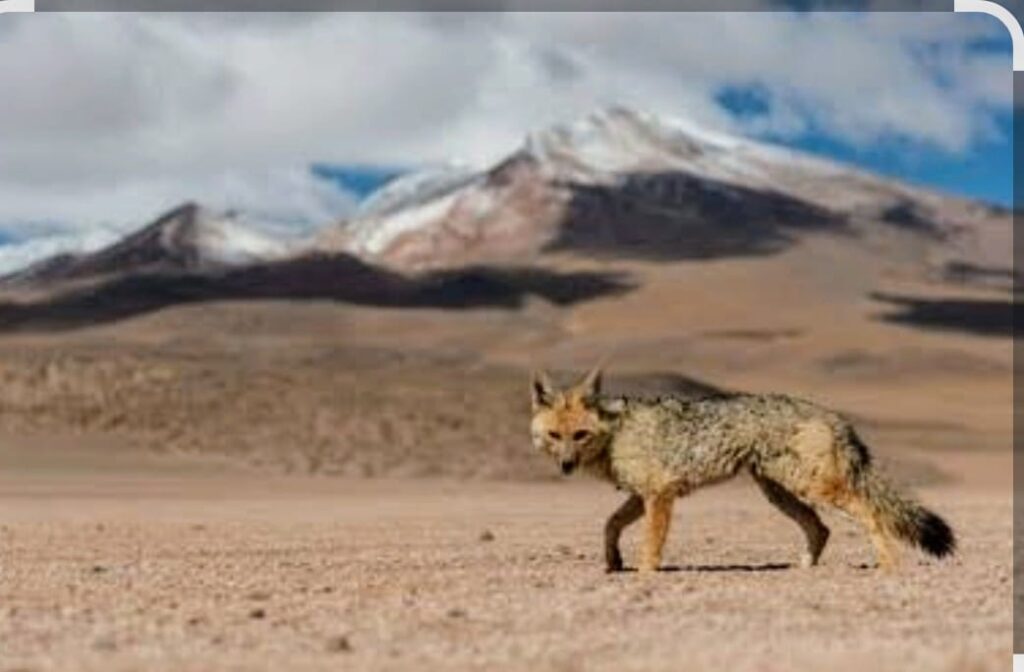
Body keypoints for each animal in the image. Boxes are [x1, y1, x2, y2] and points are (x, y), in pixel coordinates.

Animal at [529, 366, 955, 573]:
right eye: (554, 435)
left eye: (580, 435)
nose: (565, 465)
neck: (617, 430)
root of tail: (831, 414)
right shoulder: (641, 495)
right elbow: (610, 525)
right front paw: (613, 562)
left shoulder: (660, 494)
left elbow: (651, 542)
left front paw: (645, 574)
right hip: (781, 492)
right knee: (821, 528)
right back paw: (804, 566)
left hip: (814, 487)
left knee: (869, 514)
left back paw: (888, 565)